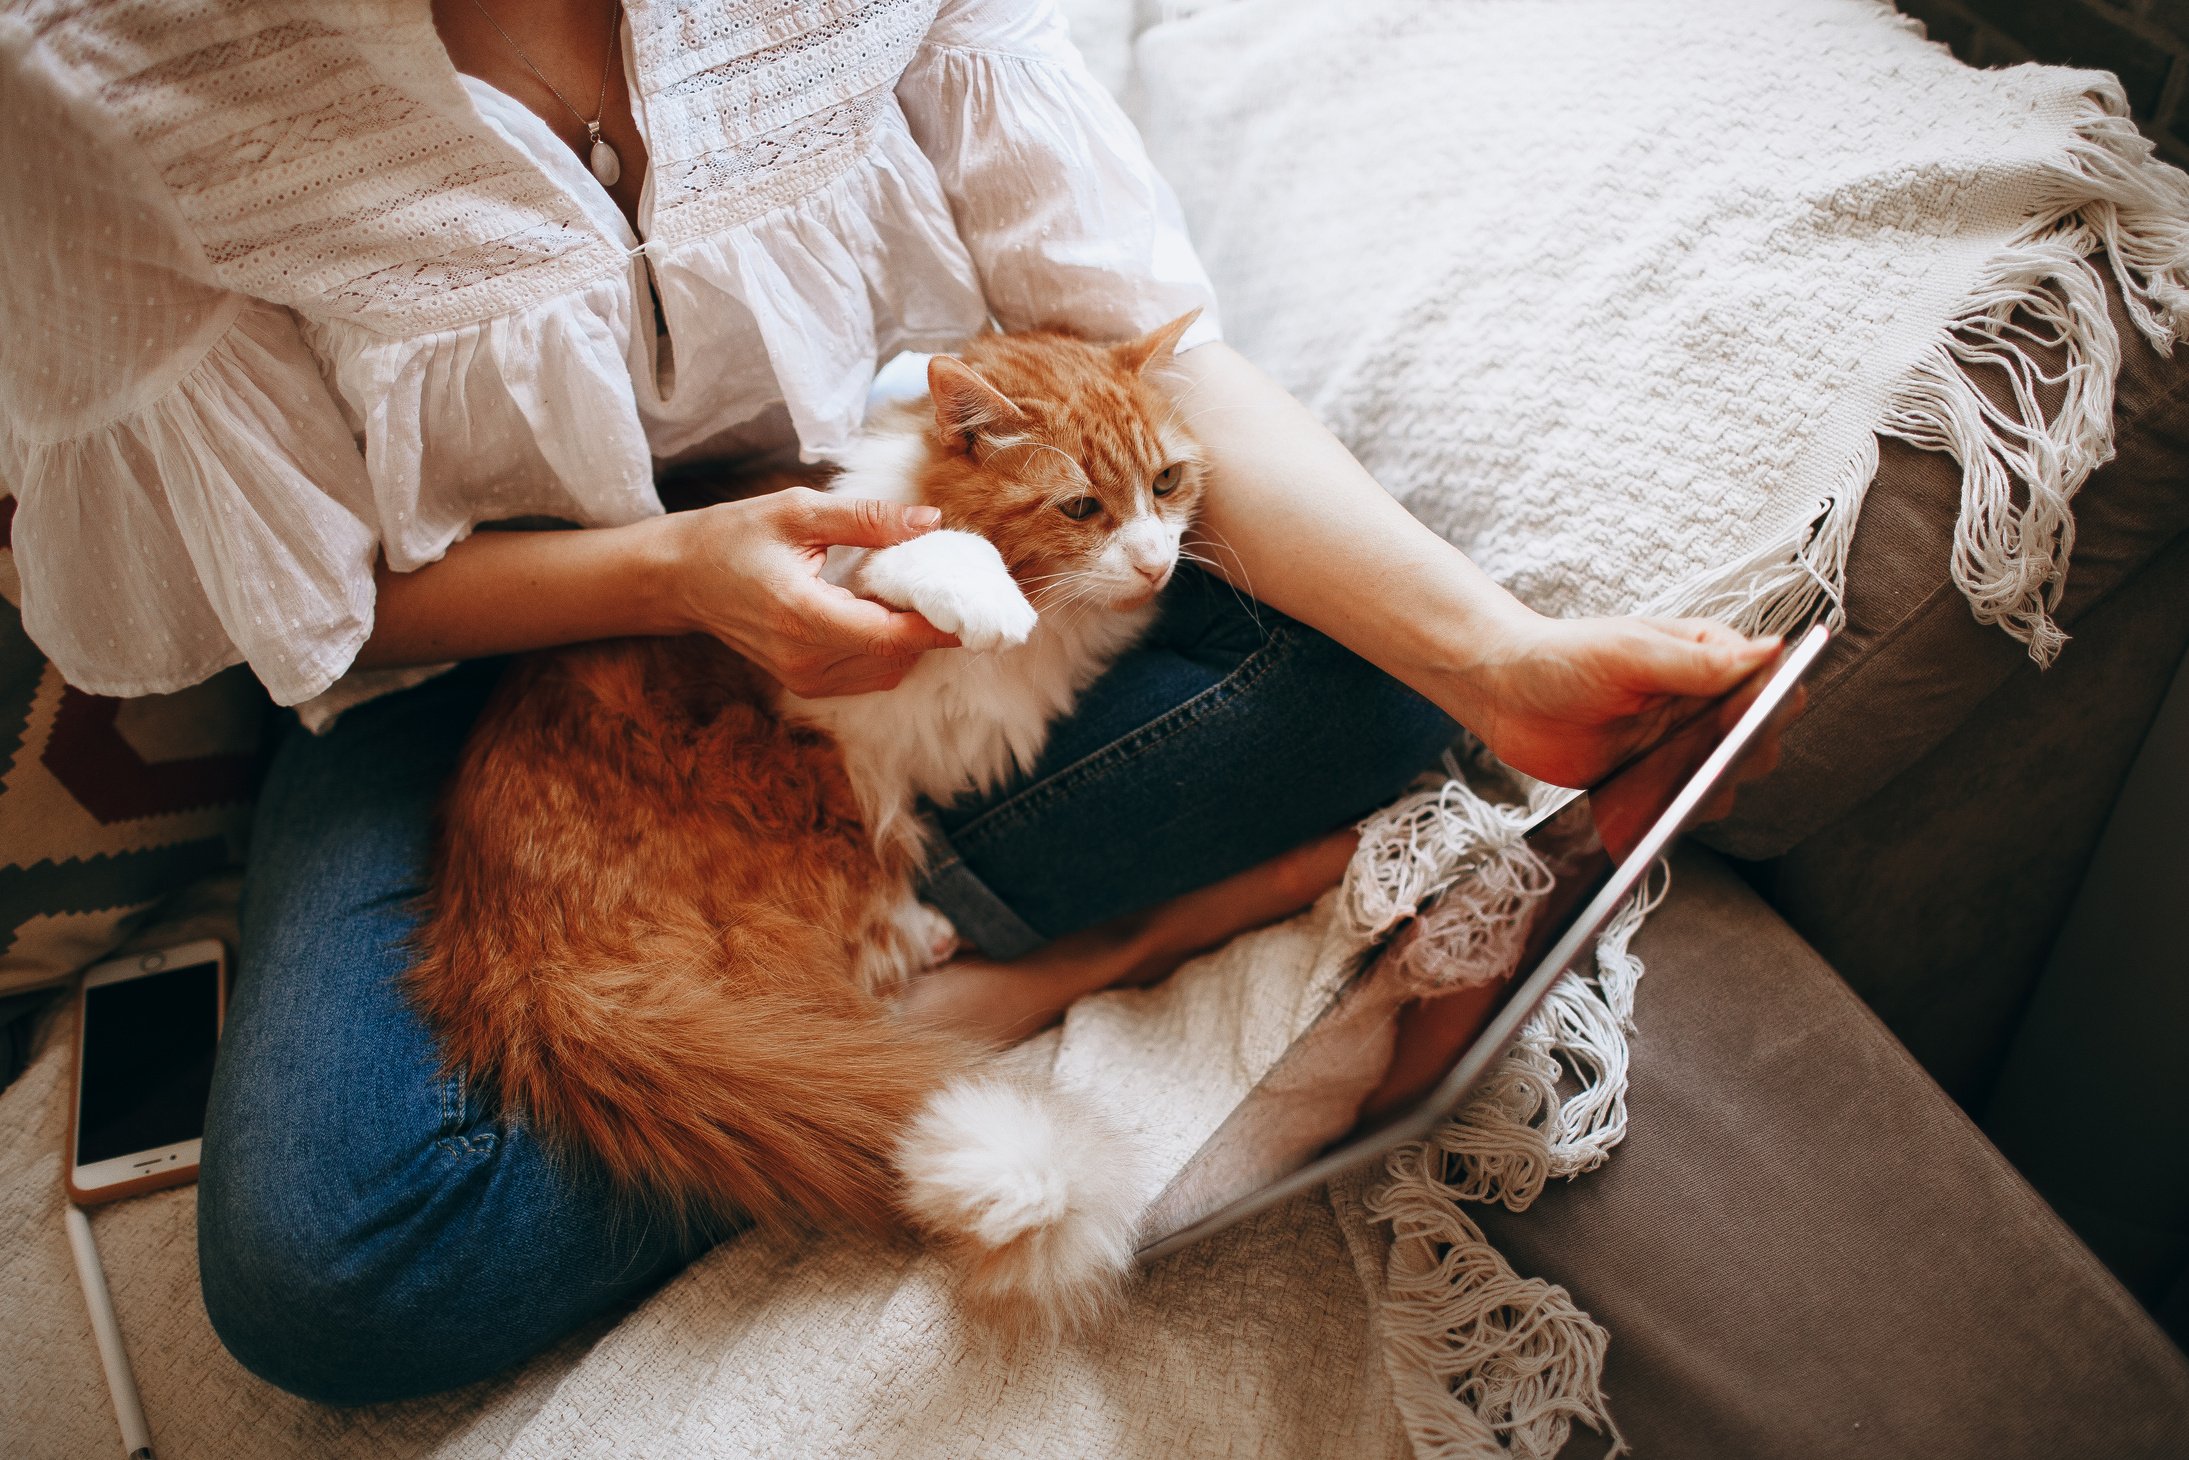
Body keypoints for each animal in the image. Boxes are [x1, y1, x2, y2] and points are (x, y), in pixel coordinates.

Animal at [402, 315, 1208, 1330]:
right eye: (1078, 506)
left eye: (1166, 483)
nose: (1153, 563)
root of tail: (518, 952)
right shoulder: (838, 626)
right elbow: (934, 553)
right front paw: (987, 602)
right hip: (795, 812)